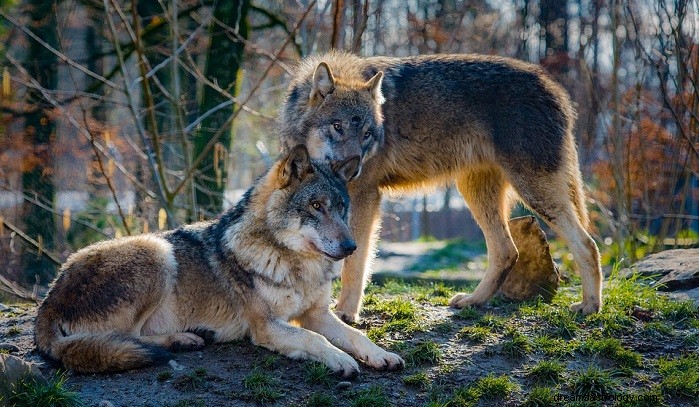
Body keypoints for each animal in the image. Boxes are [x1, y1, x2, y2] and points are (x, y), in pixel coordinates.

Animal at [32, 146, 404, 376]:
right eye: (316, 206)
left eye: (341, 208)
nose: (351, 246)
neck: (296, 265)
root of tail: (48, 300)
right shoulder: (266, 326)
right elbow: (316, 340)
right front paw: (341, 360)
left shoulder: (317, 313)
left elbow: (355, 335)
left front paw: (380, 355)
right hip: (156, 251)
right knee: (127, 337)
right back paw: (184, 339)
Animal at [278, 51, 600, 326]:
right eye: (338, 126)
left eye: (367, 134)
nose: (354, 167)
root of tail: (556, 88)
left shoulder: (364, 196)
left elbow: (355, 261)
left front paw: (345, 312)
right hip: (476, 193)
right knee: (507, 251)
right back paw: (473, 301)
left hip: (533, 192)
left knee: (587, 244)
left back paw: (590, 307)